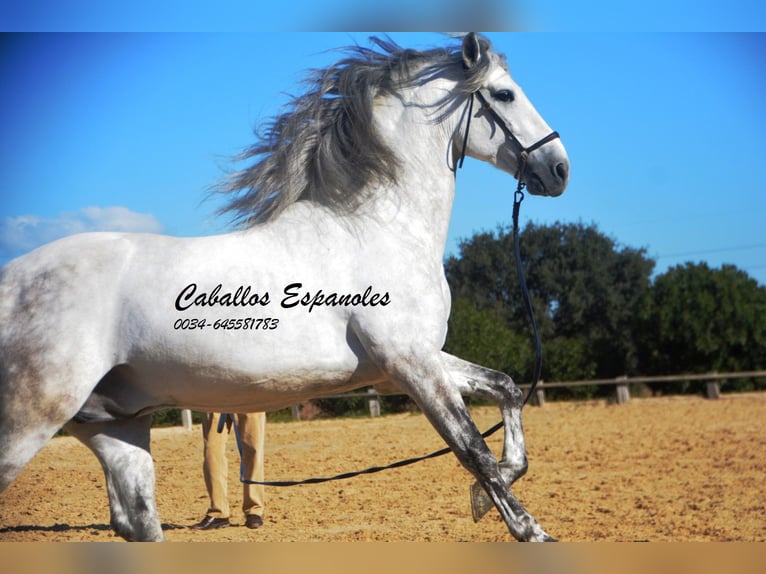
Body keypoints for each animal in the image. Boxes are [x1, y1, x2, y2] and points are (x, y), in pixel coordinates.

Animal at [0, 32, 568, 544]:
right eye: (504, 94)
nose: (558, 168)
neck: (378, 227)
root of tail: (12, 280)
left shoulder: (406, 365)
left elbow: (506, 388)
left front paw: (485, 499)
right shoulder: (412, 364)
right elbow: (473, 450)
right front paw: (530, 530)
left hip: (114, 426)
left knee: (136, 520)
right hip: (32, 416)